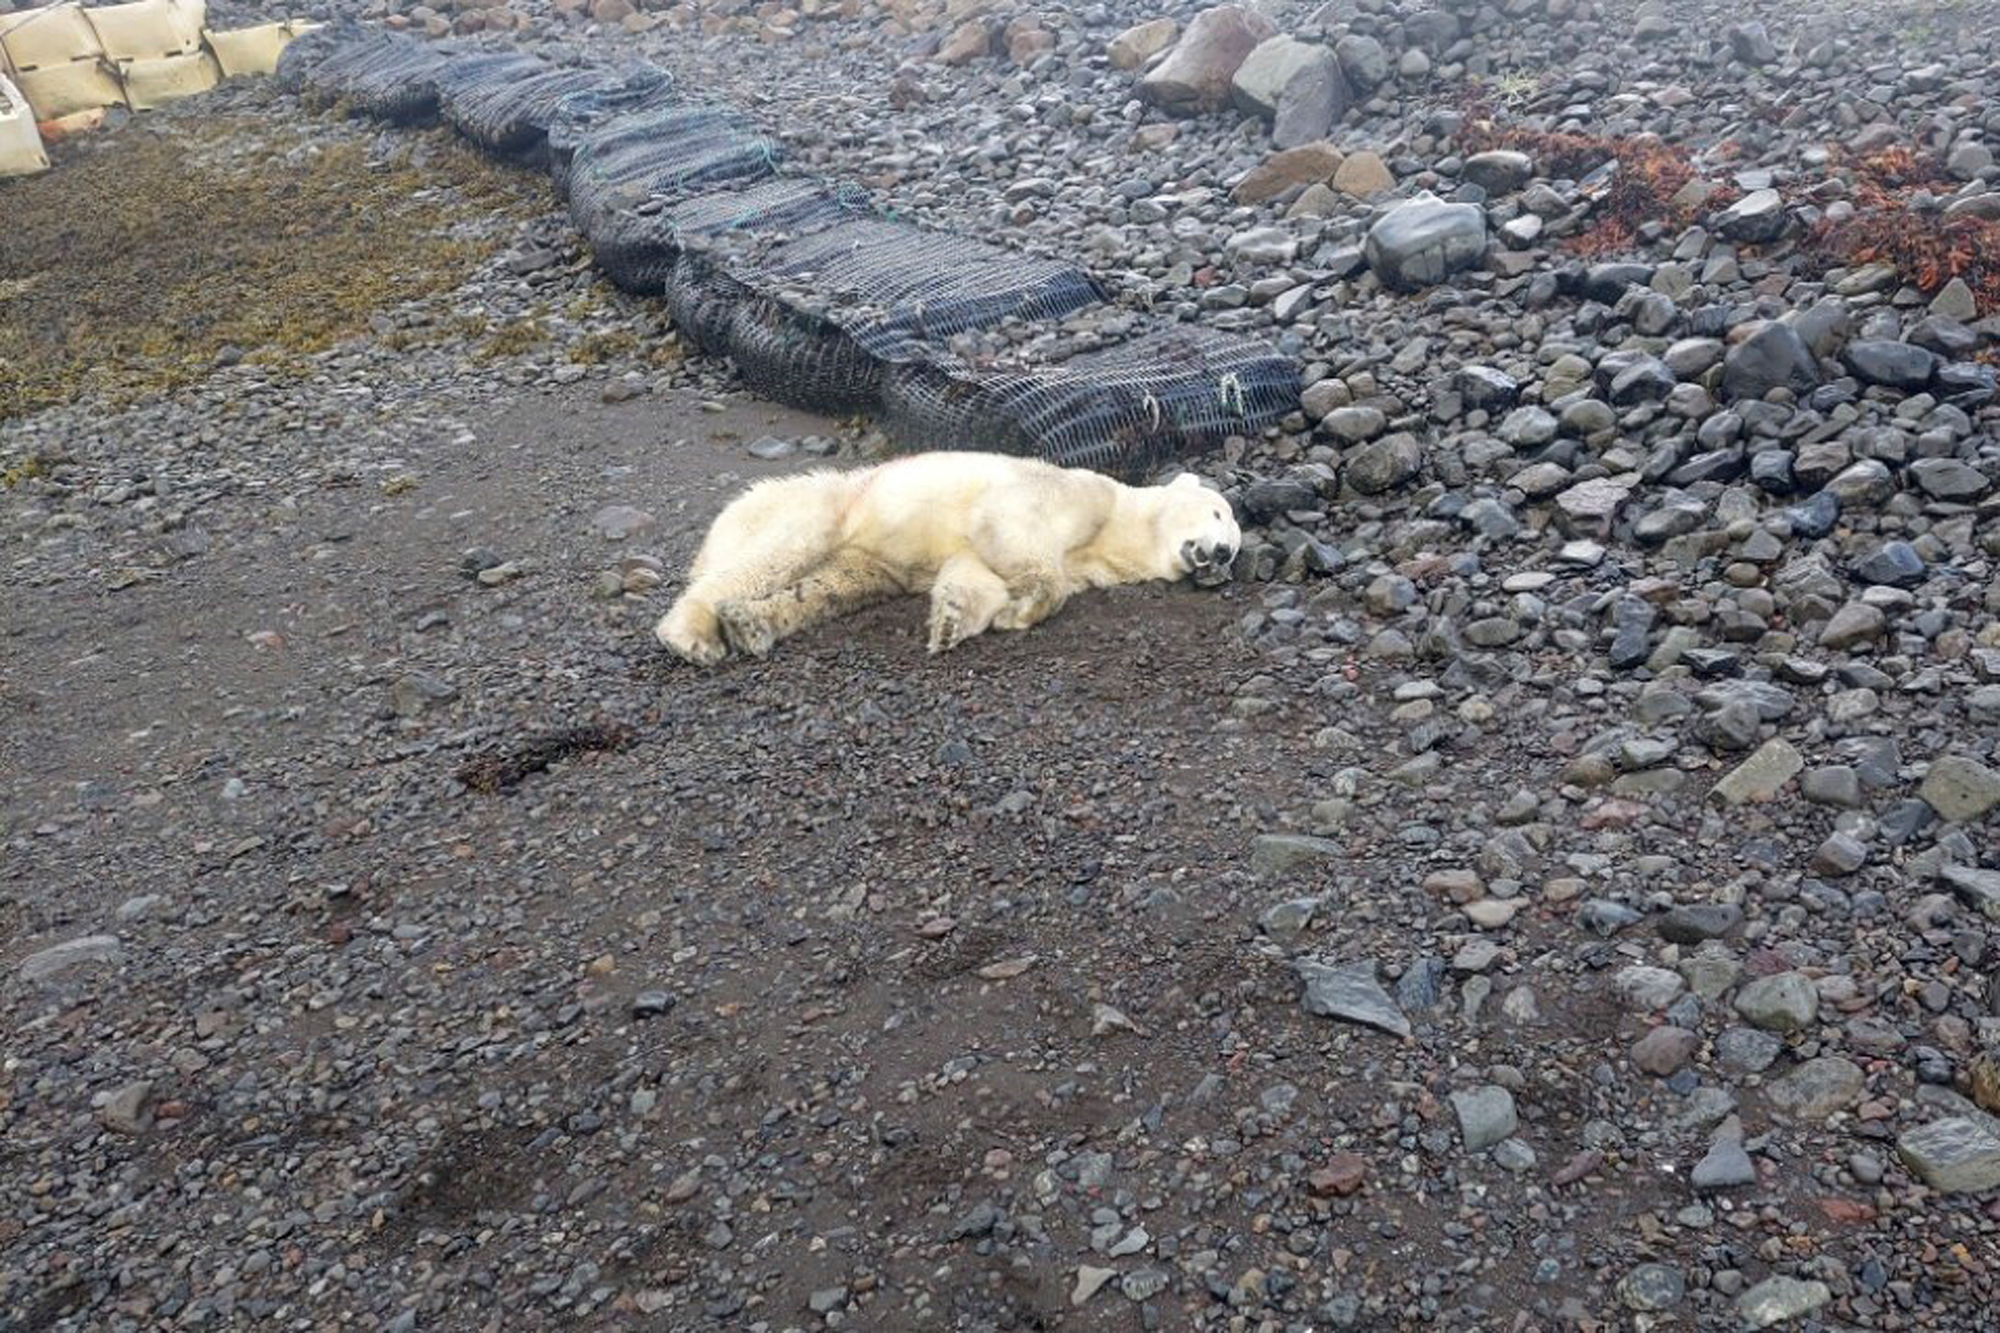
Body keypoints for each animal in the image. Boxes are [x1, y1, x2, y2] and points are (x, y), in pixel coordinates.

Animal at [655, 451, 1241, 664]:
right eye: (1218, 513)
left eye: (1235, 548)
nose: (1221, 554)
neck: (1119, 526)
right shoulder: (1073, 493)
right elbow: (1012, 529)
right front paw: (1024, 607)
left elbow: (975, 572)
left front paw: (954, 621)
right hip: (825, 506)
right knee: (774, 555)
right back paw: (693, 635)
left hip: (863, 558)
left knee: (831, 587)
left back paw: (750, 625)